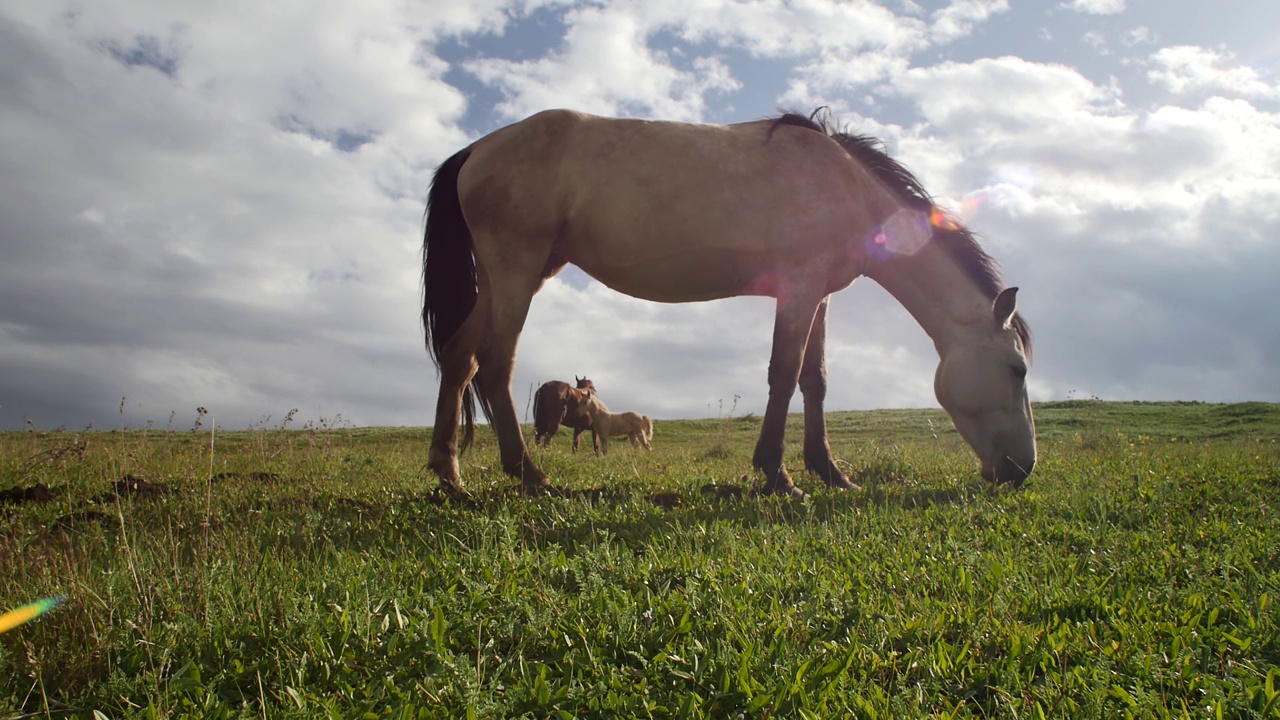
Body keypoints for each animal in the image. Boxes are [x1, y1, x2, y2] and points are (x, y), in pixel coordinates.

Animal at [424, 107, 1034, 499]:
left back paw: (450, 476)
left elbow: (814, 380)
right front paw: (778, 475)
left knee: (459, 359)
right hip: (517, 269)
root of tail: (475, 150)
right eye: (1017, 369)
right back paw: (528, 474)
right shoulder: (798, 287)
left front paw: (831, 473)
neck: (844, 187)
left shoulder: (819, 295)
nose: (1022, 469)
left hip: (510, 276)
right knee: (495, 364)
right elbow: (784, 375)